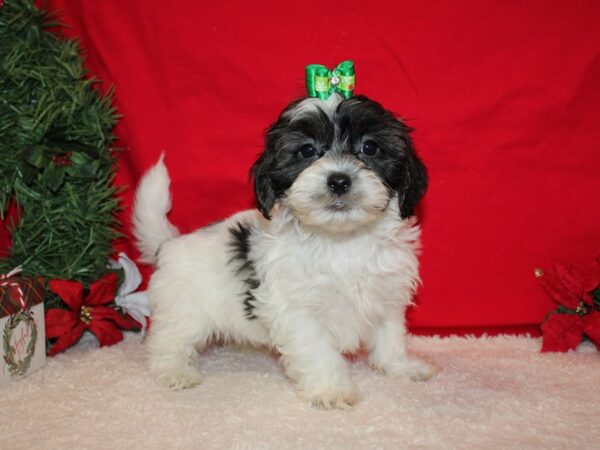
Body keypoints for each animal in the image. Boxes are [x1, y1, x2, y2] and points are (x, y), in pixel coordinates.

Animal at [132, 93, 436, 410]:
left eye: (370, 147)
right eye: (308, 150)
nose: (339, 180)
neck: (342, 239)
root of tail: (169, 244)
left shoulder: (386, 293)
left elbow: (391, 335)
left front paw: (402, 367)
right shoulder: (298, 309)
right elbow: (318, 350)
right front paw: (332, 389)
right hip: (185, 308)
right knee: (169, 340)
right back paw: (174, 371)